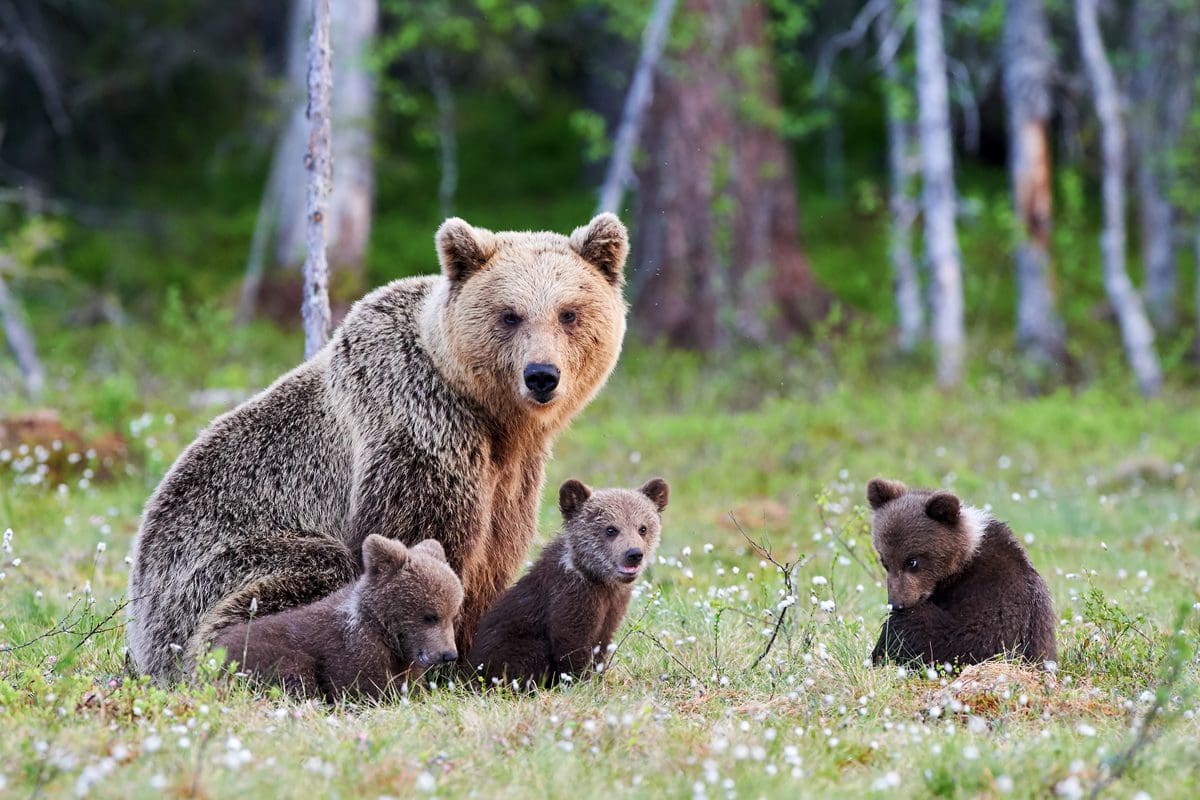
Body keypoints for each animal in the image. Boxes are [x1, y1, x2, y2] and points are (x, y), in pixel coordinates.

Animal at [127, 213, 630, 682]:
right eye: (510, 314)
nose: (542, 375)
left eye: (568, 313)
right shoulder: (418, 428)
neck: (490, 416)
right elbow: (420, 543)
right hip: (216, 569)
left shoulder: (512, 473)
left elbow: (494, 555)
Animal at [468, 477, 668, 688]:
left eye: (643, 528)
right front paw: (580, 682)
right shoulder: (571, 598)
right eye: (611, 529)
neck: (598, 579)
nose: (634, 554)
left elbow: (602, 644)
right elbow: (571, 646)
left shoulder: (613, 606)